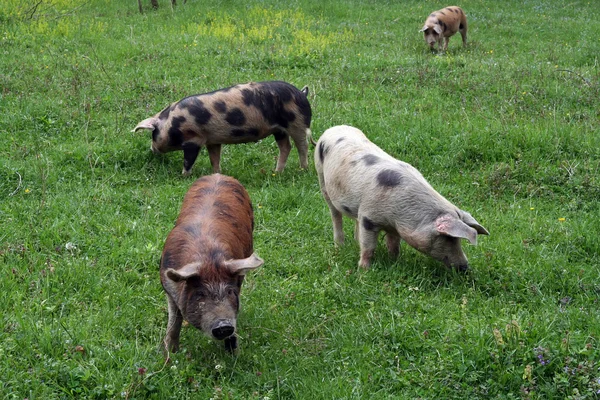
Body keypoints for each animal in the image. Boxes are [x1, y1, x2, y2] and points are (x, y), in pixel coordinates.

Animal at [132, 80, 314, 176]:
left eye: (153, 134)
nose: (152, 149)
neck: (172, 122)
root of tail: (302, 93)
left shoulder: (193, 140)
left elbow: (188, 160)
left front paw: (183, 176)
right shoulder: (212, 140)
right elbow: (215, 158)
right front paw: (216, 174)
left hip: (296, 123)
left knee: (302, 145)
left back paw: (303, 169)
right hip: (279, 130)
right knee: (286, 146)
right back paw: (276, 172)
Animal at [159, 173, 262, 352]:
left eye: (230, 291)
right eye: (201, 293)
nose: (224, 325)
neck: (207, 257)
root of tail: (218, 175)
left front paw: (233, 352)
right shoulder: (168, 288)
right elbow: (174, 322)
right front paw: (171, 352)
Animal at [314, 125, 488, 268]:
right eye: (449, 238)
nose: (465, 267)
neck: (397, 216)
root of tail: (332, 128)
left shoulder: (393, 226)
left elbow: (394, 245)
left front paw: (394, 262)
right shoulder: (368, 218)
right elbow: (368, 248)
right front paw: (364, 270)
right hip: (321, 177)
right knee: (335, 215)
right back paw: (340, 245)